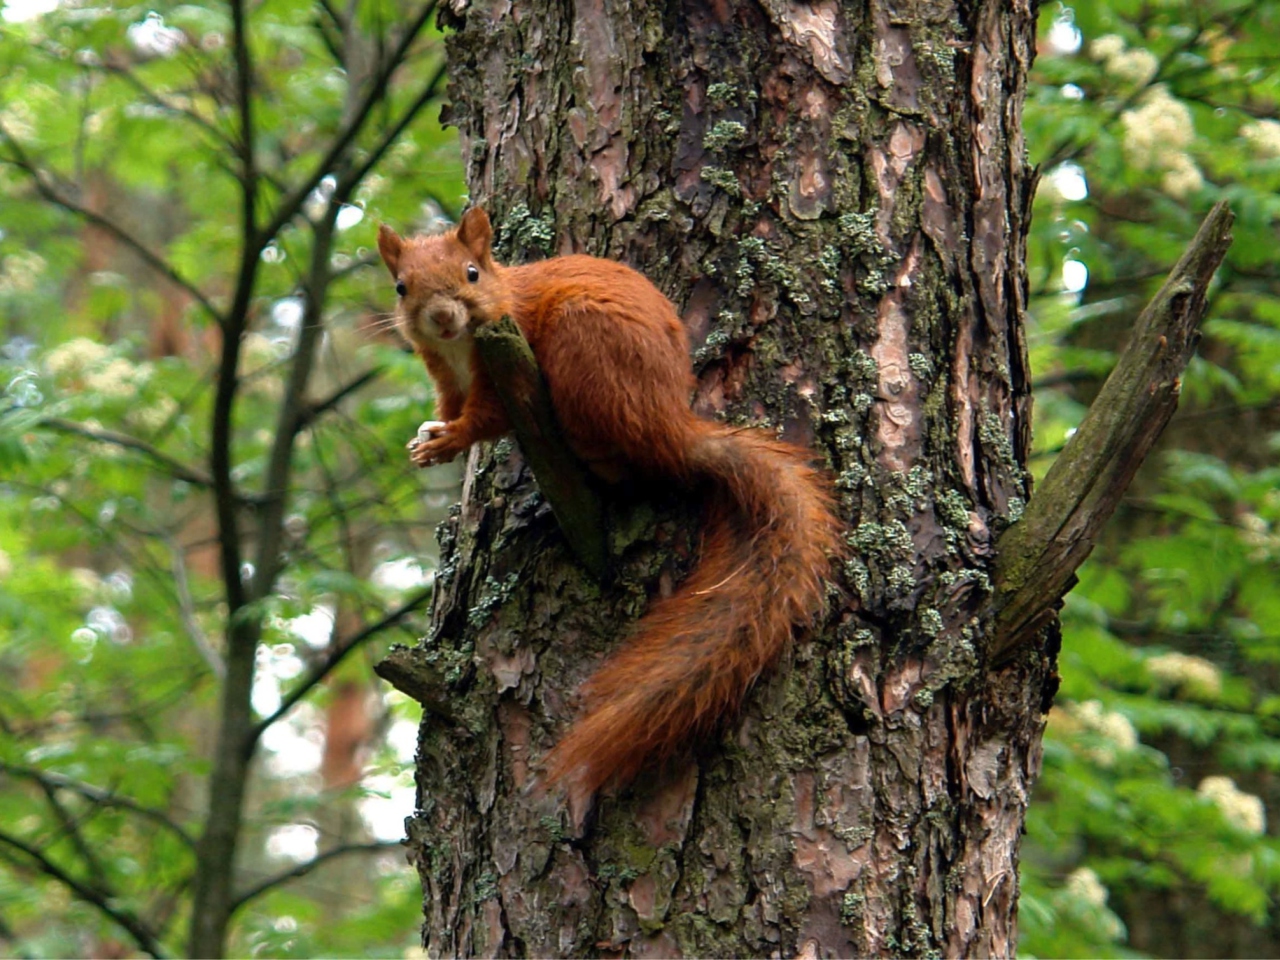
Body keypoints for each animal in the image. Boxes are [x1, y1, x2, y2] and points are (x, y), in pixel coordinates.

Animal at [373, 207, 844, 798]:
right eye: (400, 286)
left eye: (472, 272)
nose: (440, 317)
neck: (461, 346)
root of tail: (674, 429)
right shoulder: (444, 375)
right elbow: (450, 408)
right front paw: (429, 441)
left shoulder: (502, 363)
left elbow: (485, 419)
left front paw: (448, 440)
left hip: (585, 348)